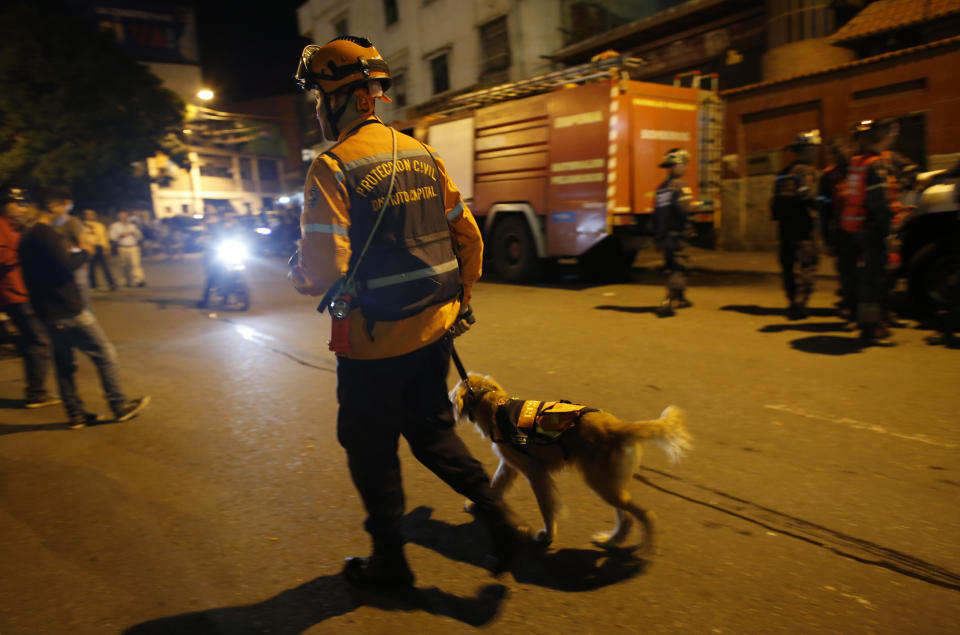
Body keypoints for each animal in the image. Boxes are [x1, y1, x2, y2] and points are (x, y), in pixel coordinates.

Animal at [450, 372, 688, 556]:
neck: (496, 406)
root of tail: (618, 427)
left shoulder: (535, 473)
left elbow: (547, 507)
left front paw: (548, 535)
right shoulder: (510, 466)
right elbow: (495, 485)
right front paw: (477, 502)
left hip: (602, 483)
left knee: (645, 514)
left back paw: (646, 547)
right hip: (608, 484)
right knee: (627, 518)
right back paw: (612, 541)